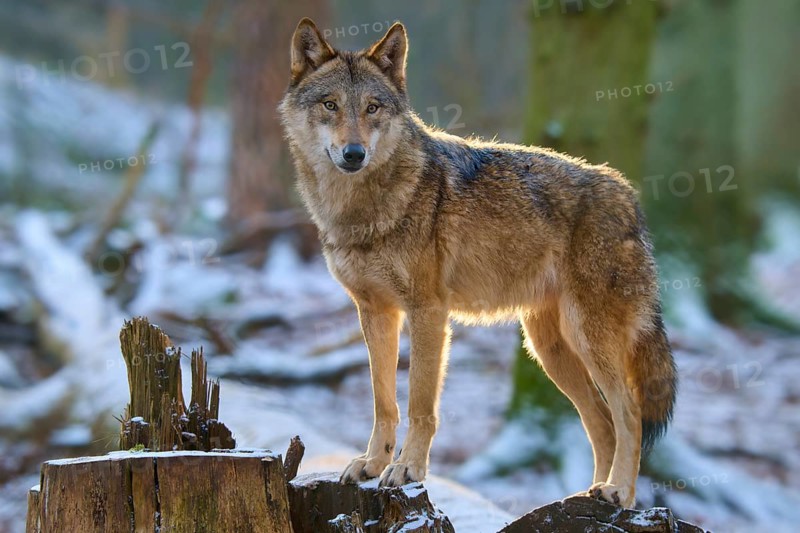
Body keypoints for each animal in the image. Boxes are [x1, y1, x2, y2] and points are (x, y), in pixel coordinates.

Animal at [278, 18, 677, 508]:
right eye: (330, 105)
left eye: (372, 108)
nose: (354, 153)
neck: (362, 208)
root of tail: (627, 195)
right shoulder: (374, 312)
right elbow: (383, 401)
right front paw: (372, 464)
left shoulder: (428, 312)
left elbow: (420, 404)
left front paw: (407, 469)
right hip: (548, 350)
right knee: (602, 424)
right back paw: (589, 494)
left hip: (586, 338)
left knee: (630, 414)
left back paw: (618, 492)